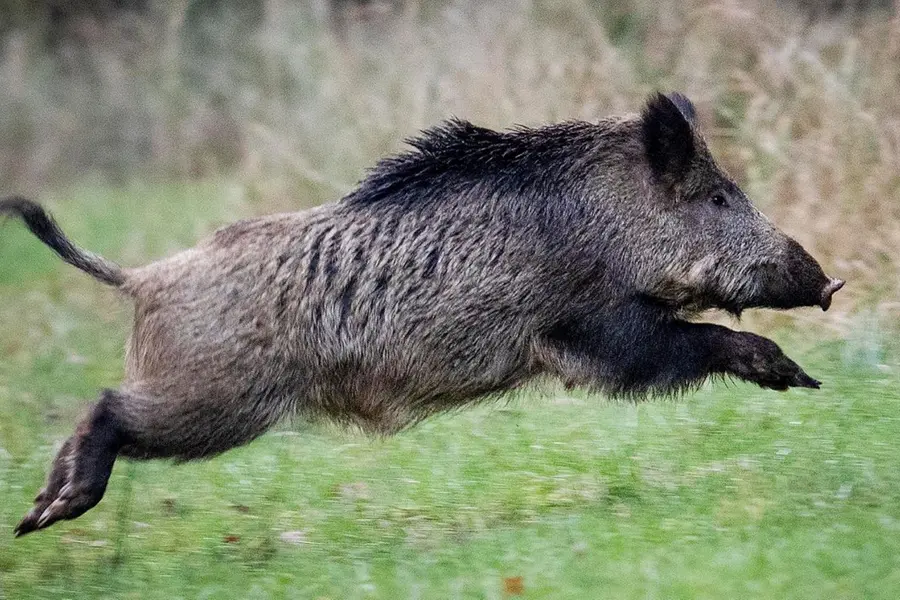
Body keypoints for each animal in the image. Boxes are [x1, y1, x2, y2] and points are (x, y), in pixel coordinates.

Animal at [2, 92, 843, 536]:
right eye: (718, 198)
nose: (832, 283)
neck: (604, 225)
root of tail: (140, 280)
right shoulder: (585, 333)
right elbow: (692, 342)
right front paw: (798, 377)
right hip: (215, 398)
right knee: (108, 406)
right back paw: (46, 515)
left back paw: (38, 514)